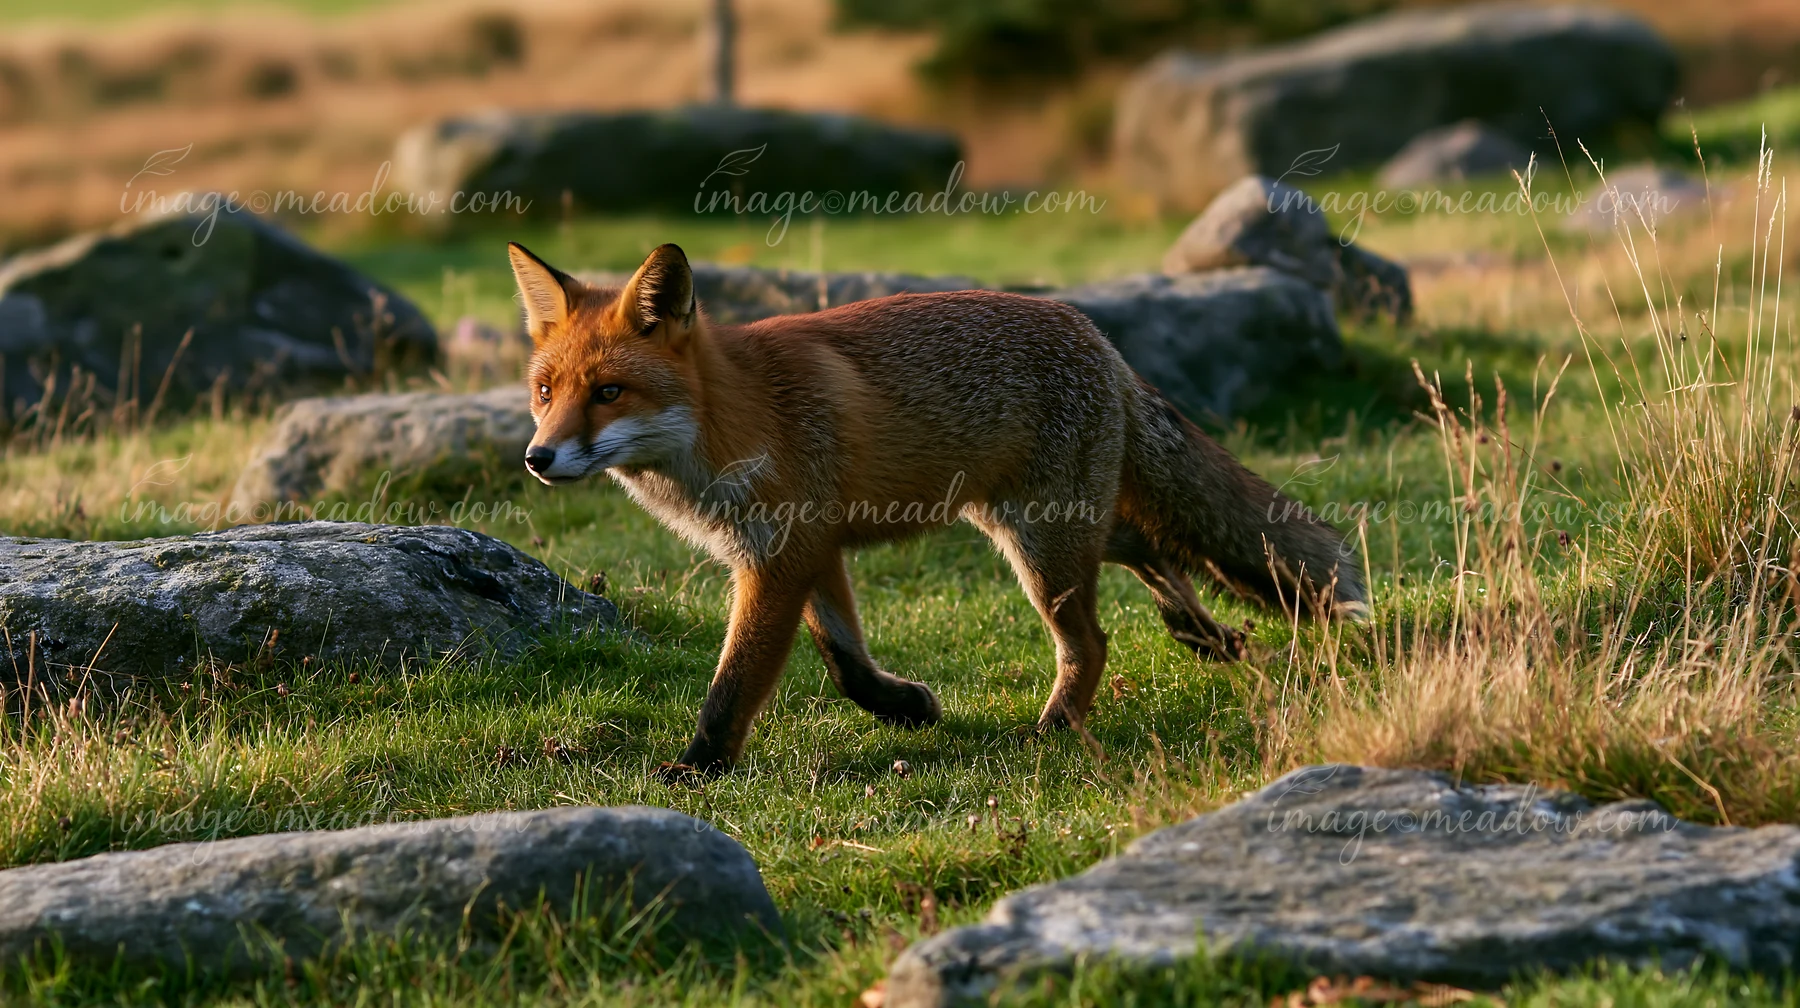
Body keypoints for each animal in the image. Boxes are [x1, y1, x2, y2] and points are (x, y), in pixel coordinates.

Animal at [509, 241, 1365, 774]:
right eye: (546, 392)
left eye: (609, 392)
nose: (537, 458)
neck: (729, 419)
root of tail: (1095, 334)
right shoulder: (810, 552)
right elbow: (847, 664)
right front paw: (908, 708)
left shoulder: (778, 558)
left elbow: (734, 685)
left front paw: (695, 770)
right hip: (1050, 524)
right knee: (1159, 551)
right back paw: (1205, 634)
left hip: (1042, 546)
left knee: (1092, 640)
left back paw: (1055, 729)